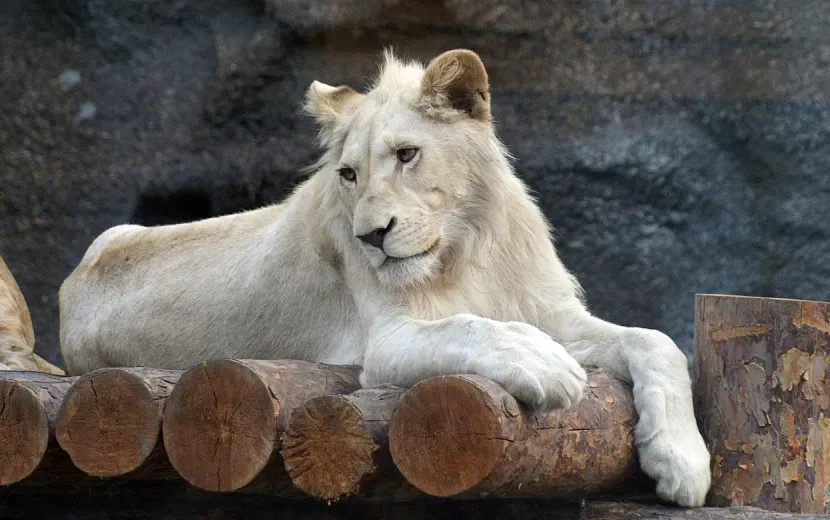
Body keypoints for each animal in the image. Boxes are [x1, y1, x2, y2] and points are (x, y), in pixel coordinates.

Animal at [59, 49, 711, 506]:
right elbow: (471, 326)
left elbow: (656, 342)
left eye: (406, 154)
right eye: (349, 174)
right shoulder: (388, 341)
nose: (372, 235)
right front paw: (548, 368)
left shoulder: (554, 314)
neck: (462, 250)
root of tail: (72, 284)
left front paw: (683, 464)